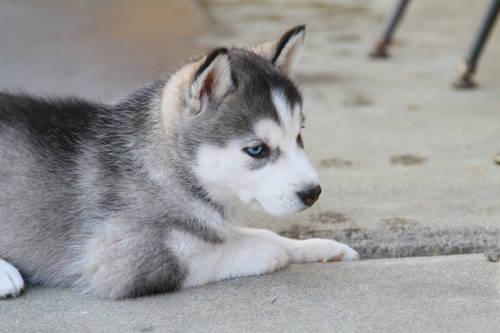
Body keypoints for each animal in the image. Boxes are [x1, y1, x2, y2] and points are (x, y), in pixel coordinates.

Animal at [0, 24, 360, 296]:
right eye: (257, 149)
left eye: (298, 136)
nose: (313, 193)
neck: (166, 171)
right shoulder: (115, 258)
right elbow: (217, 253)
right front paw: (268, 251)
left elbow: (258, 233)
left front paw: (320, 246)